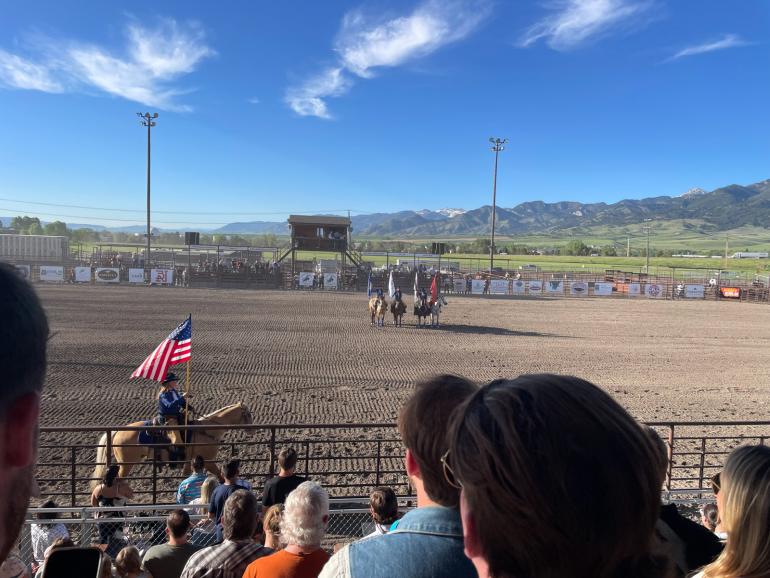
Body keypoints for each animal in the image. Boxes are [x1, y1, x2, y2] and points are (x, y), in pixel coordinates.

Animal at [91, 400, 250, 482]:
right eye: (248, 414)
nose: (252, 430)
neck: (207, 430)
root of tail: (117, 431)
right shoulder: (209, 461)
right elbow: (220, 477)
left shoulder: (190, 462)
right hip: (126, 464)